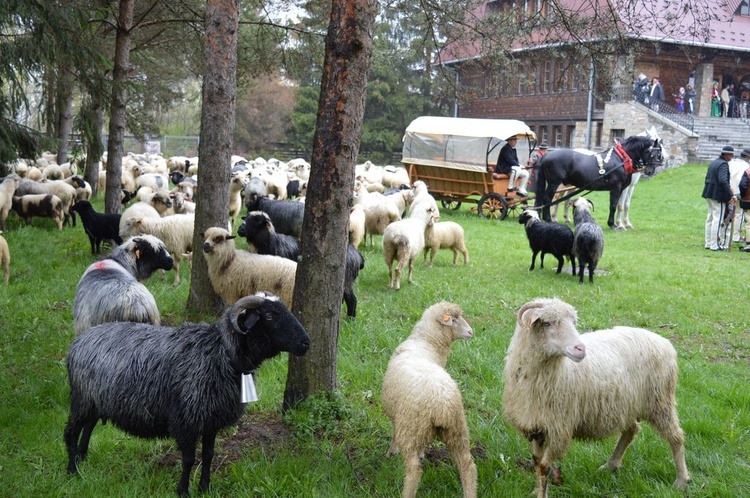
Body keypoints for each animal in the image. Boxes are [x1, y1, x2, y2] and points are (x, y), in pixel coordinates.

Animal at [65, 294, 312, 496]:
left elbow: (209, 455)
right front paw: (183, 491)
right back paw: (72, 471)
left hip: (97, 401)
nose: (306, 343)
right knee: (71, 432)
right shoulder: (186, 419)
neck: (220, 354)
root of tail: (78, 342)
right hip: (81, 399)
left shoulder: (212, 420)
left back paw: (82, 458)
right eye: (270, 316)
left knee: (88, 427)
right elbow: (189, 459)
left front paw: (205, 488)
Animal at [382, 300, 476, 498]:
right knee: (468, 465)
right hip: (457, 430)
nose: (471, 332)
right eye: (454, 319)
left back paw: (407, 492)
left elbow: (393, 434)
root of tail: (443, 404)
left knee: (414, 469)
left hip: (410, 428)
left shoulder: (398, 418)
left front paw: (391, 452)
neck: (426, 342)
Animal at [506, 298, 692, 498]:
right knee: (631, 430)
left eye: (574, 322)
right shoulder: (534, 426)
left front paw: (542, 493)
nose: (580, 349)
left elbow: (544, 466)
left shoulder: (559, 429)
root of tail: (665, 342)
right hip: (628, 404)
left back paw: (682, 480)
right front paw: (536, 490)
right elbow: (536, 460)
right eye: (547, 323)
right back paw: (611, 465)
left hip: (660, 401)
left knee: (676, 437)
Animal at [536, 136, 664, 230]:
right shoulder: (616, 188)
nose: (650, 171)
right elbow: (613, 206)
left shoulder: (623, 188)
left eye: (659, 154)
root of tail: (547, 155)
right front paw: (613, 225)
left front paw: (620, 224)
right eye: (650, 152)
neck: (621, 159)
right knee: (547, 199)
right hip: (554, 183)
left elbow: (620, 206)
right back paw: (549, 219)